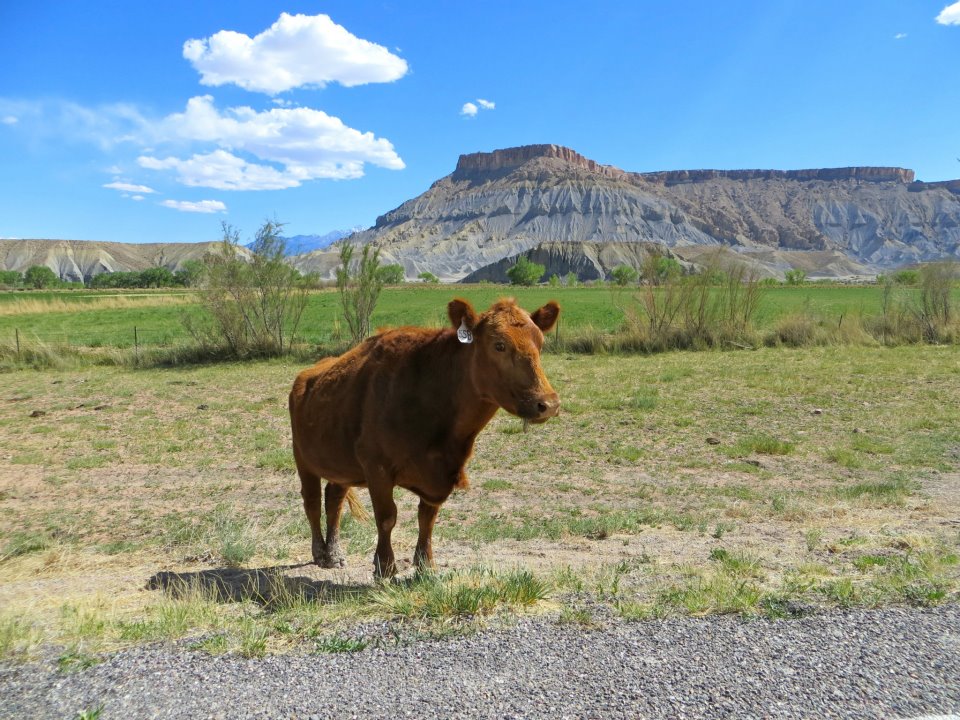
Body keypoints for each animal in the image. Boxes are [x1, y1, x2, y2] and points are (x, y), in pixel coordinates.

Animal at [292, 296, 564, 576]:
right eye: (499, 345)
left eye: (540, 343)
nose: (548, 403)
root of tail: (309, 373)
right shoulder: (377, 467)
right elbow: (387, 516)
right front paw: (385, 567)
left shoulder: (438, 474)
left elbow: (427, 517)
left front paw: (425, 564)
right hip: (302, 458)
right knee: (312, 501)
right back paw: (320, 552)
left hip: (341, 464)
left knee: (334, 499)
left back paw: (334, 554)